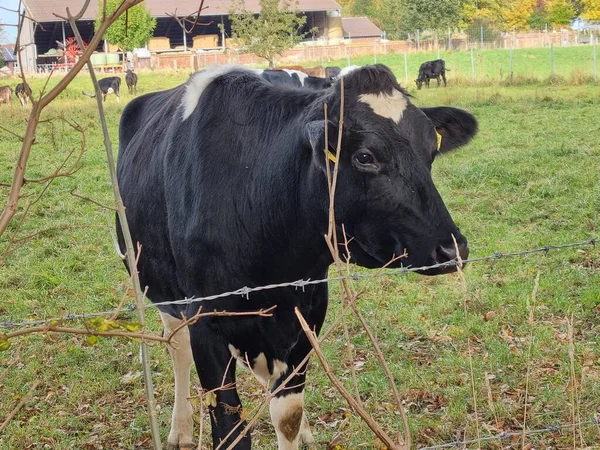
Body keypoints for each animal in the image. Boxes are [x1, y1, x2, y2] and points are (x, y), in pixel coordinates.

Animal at [117, 64, 478, 450]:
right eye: (365, 157)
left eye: (431, 150)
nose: (451, 248)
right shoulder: (205, 320)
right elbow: (230, 428)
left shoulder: (308, 311)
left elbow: (287, 414)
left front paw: (298, 428)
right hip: (161, 291)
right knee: (178, 347)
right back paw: (180, 429)